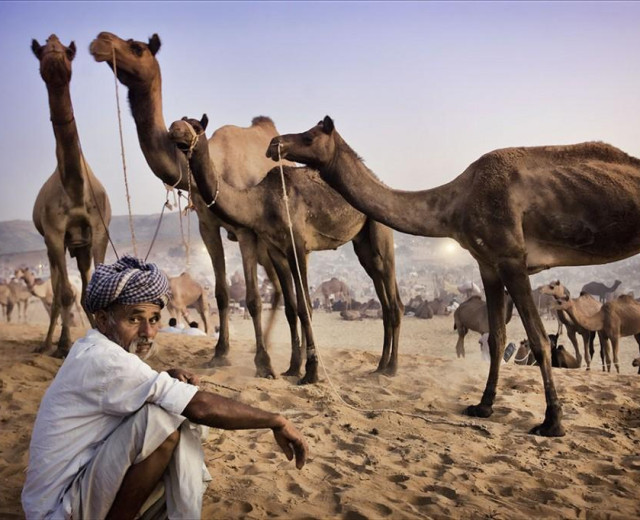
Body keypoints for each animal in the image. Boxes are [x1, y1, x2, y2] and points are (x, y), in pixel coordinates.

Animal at [89, 31, 290, 378]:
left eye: (136, 47)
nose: (101, 41)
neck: (217, 166)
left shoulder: (245, 232)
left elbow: (251, 298)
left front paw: (263, 363)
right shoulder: (208, 225)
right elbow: (221, 294)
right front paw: (220, 353)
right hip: (266, 247)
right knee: (278, 287)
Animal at [168, 115, 402, 382]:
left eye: (196, 127)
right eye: (180, 121)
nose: (174, 129)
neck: (261, 202)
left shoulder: (297, 246)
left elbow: (305, 307)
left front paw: (310, 373)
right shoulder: (276, 250)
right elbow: (291, 308)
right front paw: (292, 368)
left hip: (381, 234)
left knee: (392, 298)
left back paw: (392, 368)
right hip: (363, 246)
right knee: (383, 296)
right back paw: (380, 366)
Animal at [268, 116, 640, 436]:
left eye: (310, 136)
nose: (274, 144)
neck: (456, 203)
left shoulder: (512, 259)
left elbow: (538, 339)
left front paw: (552, 422)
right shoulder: (488, 263)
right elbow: (496, 336)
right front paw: (483, 406)